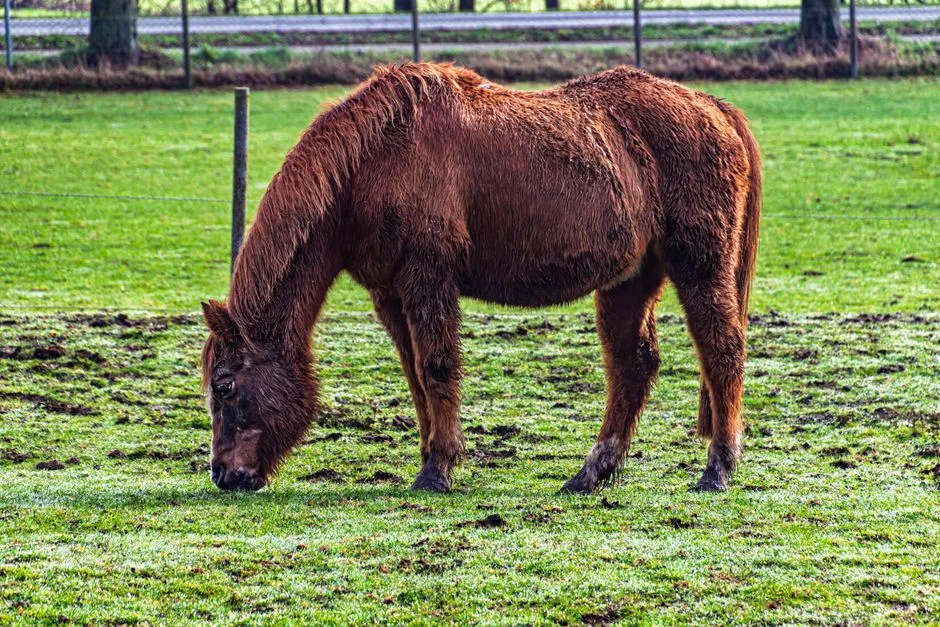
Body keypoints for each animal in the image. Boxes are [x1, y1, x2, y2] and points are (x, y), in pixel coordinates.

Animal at [201, 62, 761, 495]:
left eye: (224, 386)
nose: (224, 475)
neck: (375, 158)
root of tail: (713, 107)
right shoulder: (389, 293)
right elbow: (415, 377)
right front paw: (430, 454)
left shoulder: (428, 278)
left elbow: (437, 367)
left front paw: (438, 468)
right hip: (630, 281)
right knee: (633, 366)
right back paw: (591, 473)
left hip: (698, 267)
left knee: (722, 352)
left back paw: (717, 469)